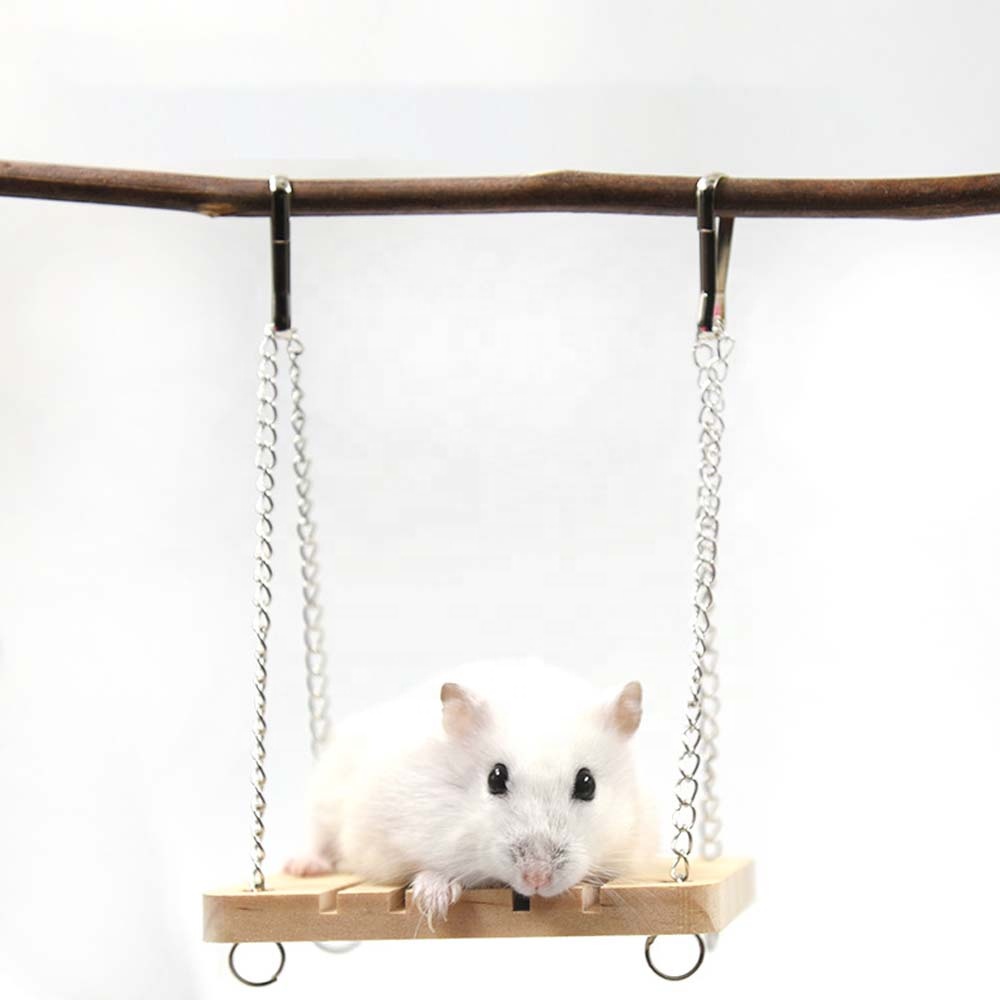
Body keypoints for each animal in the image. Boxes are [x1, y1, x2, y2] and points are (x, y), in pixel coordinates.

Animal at [284, 657, 659, 928]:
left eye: (587, 784)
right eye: (495, 778)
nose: (536, 879)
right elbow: (426, 868)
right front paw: (435, 902)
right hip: (325, 794)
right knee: (317, 838)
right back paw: (302, 868)